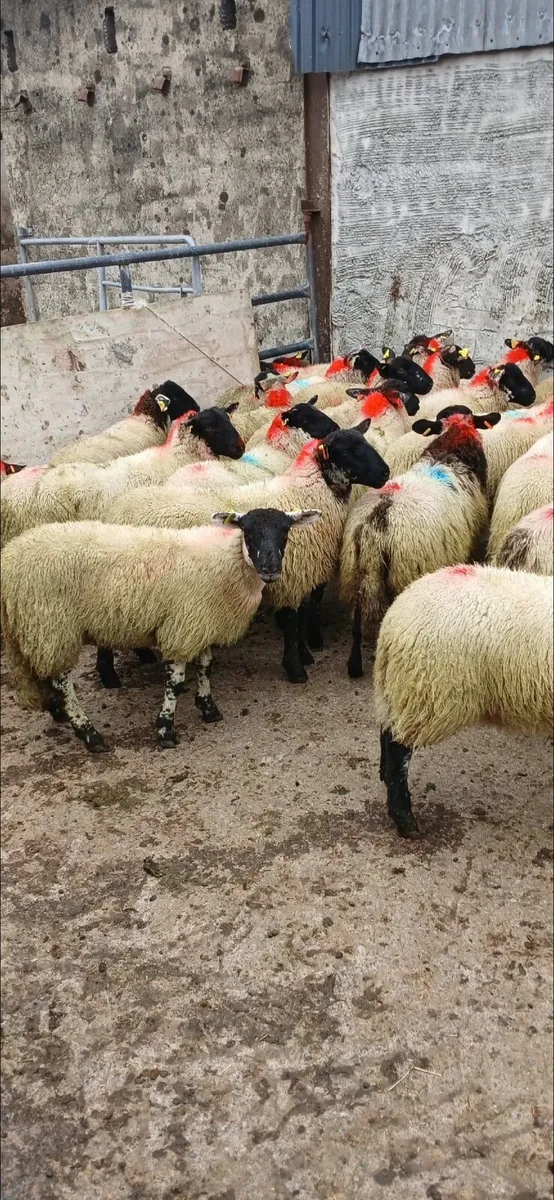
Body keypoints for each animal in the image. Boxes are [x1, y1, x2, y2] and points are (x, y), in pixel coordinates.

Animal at [1, 508, 320, 753]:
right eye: (248, 532)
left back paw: (57, 713)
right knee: (62, 683)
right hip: (52, 625)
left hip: (38, 629)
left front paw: (208, 708)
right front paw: (166, 730)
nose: (270, 569)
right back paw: (89, 734)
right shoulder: (181, 627)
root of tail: (11, 557)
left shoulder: (199, 621)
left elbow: (206, 666)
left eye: (285, 533)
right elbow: (175, 684)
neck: (225, 563)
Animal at [106, 426, 390, 683]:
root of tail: (117, 507)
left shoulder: (300, 573)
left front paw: (305, 654)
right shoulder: (289, 575)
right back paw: (110, 675)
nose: (386, 472)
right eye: (347, 451)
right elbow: (292, 622)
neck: (306, 494)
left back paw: (142, 655)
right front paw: (296, 668)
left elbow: (303, 616)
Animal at [340, 407, 500, 678]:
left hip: (356, 571)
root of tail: (377, 522)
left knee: (356, 621)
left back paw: (354, 665)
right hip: (403, 573)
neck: (450, 451)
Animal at [374, 564, 553, 836]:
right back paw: (406, 821)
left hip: (403, 690)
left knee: (387, 730)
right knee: (398, 751)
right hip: (427, 692)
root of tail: (395, 617)